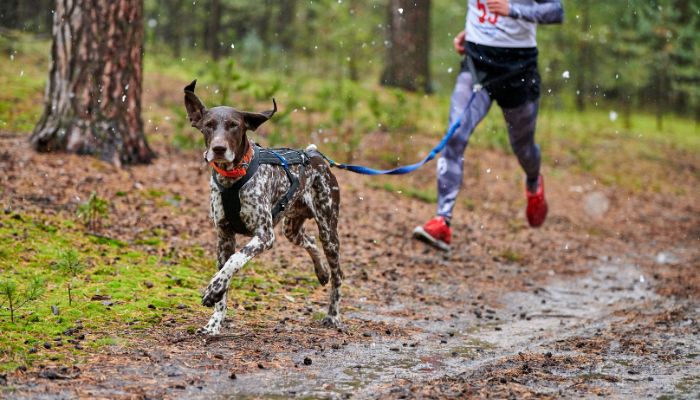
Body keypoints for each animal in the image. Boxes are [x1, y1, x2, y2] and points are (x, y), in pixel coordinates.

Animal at [183, 80, 342, 334]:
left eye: (234, 125)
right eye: (208, 126)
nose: (218, 149)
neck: (233, 178)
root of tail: (313, 155)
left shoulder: (264, 236)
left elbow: (235, 260)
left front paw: (213, 288)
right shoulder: (224, 237)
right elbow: (224, 278)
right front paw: (214, 324)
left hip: (328, 231)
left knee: (338, 276)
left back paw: (333, 316)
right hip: (291, 229)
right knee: (309, 242)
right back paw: (321, 271)